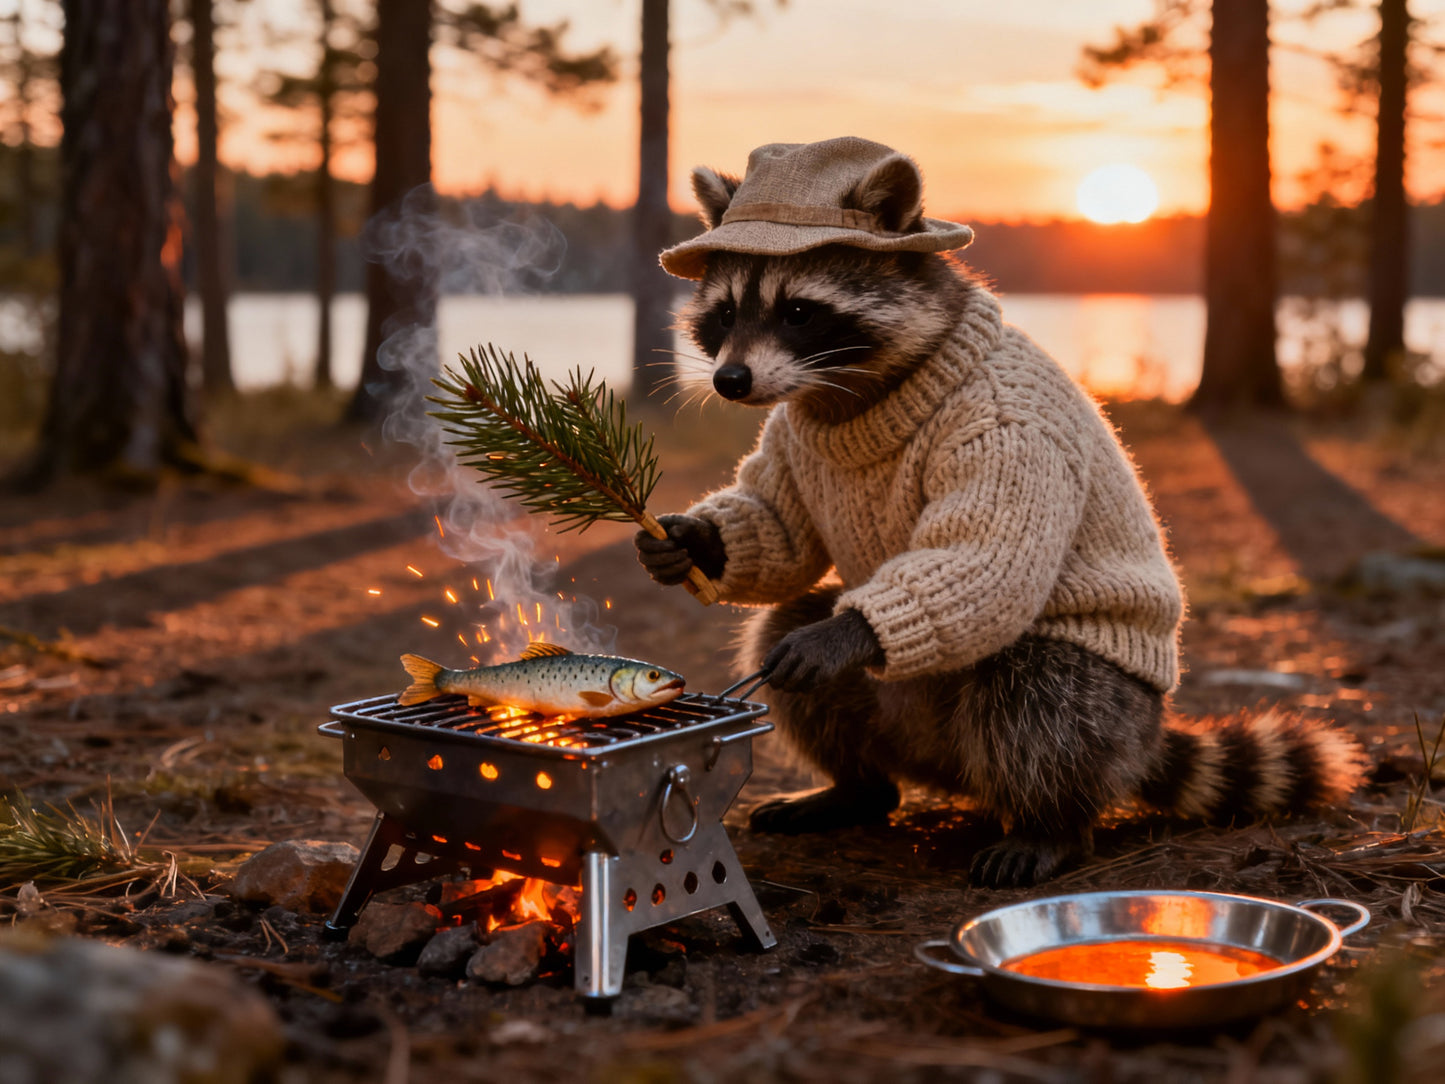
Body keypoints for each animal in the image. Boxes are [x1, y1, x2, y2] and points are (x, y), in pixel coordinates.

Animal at [636, 139, 1367, 887]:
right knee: (788, 624)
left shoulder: (1009, 431)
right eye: (726, 313)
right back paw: (858, 786)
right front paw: (697, 538)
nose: (730, 380)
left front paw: (848, 631)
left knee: (1036, 693)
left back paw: (1052, 823)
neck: (855, 398)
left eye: (798, 312)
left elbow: (986, 558)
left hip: (1105, 709)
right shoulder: (790, 431)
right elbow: (782, 531)